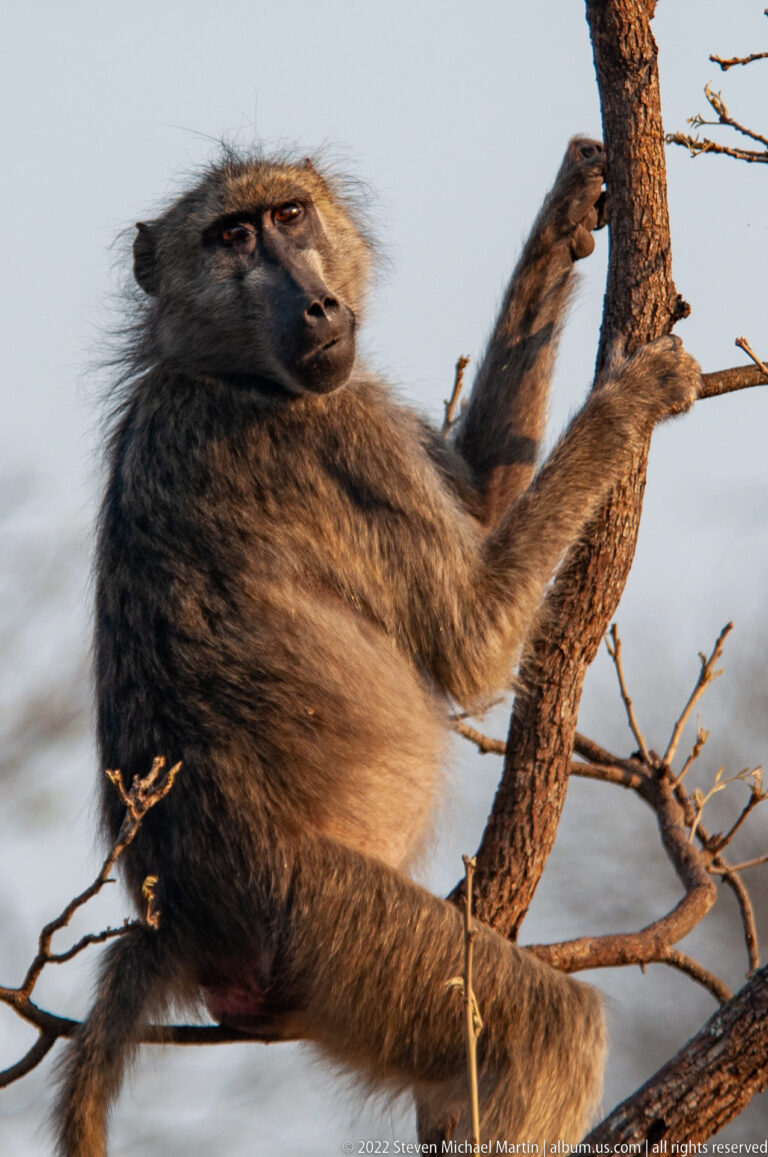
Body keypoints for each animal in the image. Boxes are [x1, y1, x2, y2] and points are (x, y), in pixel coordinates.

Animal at [54, 137, 701, 1155]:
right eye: (232, 238)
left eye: (289, 216)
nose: (317, 306)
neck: (215, 371)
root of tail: (179, 917)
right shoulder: (336, 431)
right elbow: (473, 641)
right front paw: (633, 396)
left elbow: (480, 498)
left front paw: (565, 214)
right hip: (333, 930)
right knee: (548, 1026)